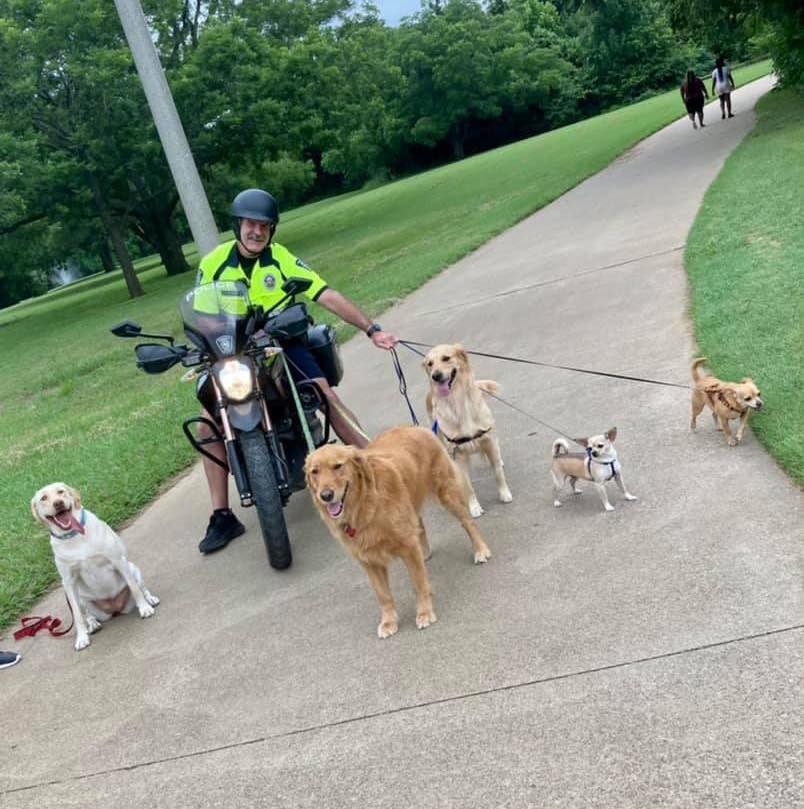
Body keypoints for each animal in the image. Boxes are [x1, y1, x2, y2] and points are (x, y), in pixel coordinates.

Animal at [30, 480, 159, 652]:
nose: (58, 503)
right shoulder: (68, 582)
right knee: (85, 613)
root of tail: (115, 609)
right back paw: (92, 623)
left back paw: (150, 599)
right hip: (80, 596)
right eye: (43, 498)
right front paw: (81, 637)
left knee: (141, 587)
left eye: (61, 492)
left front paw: (144, 608)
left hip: (132, 568)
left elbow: (134, 588)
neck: (74, 536)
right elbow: (77, 615)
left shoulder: (117, 560)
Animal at [306, 426, 490, 640]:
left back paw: (480, 550)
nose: (325, 496)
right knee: (419, 523)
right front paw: (388, 622)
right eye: (315, 472)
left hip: (447, 493)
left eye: (337, 466)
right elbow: (384, 596)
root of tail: (415, 427)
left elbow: (418, 584)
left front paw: (424, 612)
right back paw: (425, 551)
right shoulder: (369, 562)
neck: (363, 506)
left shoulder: (407, 547)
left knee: (468, 522)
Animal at [424, 342, 512, 516]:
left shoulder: (488, 439)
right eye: (430, 364)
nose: (435, 376)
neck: (457, 402)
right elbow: (467, 486)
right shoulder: (458, 454)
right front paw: (474, 507)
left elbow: (498, 473)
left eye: (446, 358)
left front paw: (504, 493)